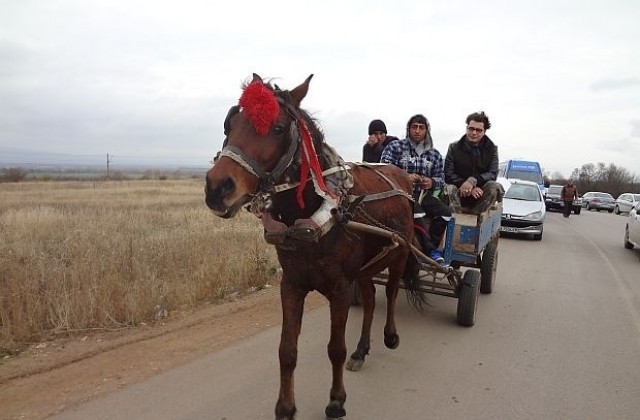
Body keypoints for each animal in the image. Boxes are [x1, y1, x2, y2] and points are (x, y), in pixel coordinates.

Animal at [206, 74, 424, 418]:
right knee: (370, 299)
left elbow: (335, 349)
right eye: (230, 123)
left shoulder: (339, 288)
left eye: (278, 128)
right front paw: (285, 407)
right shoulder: (292, 285)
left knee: (390, 292)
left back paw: (390, 335)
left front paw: (336, 400)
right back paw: (362, 350)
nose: (217, 187)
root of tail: (402, 178)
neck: (313, 214)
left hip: (399, 252)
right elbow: (286, 350)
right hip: (365, 268)